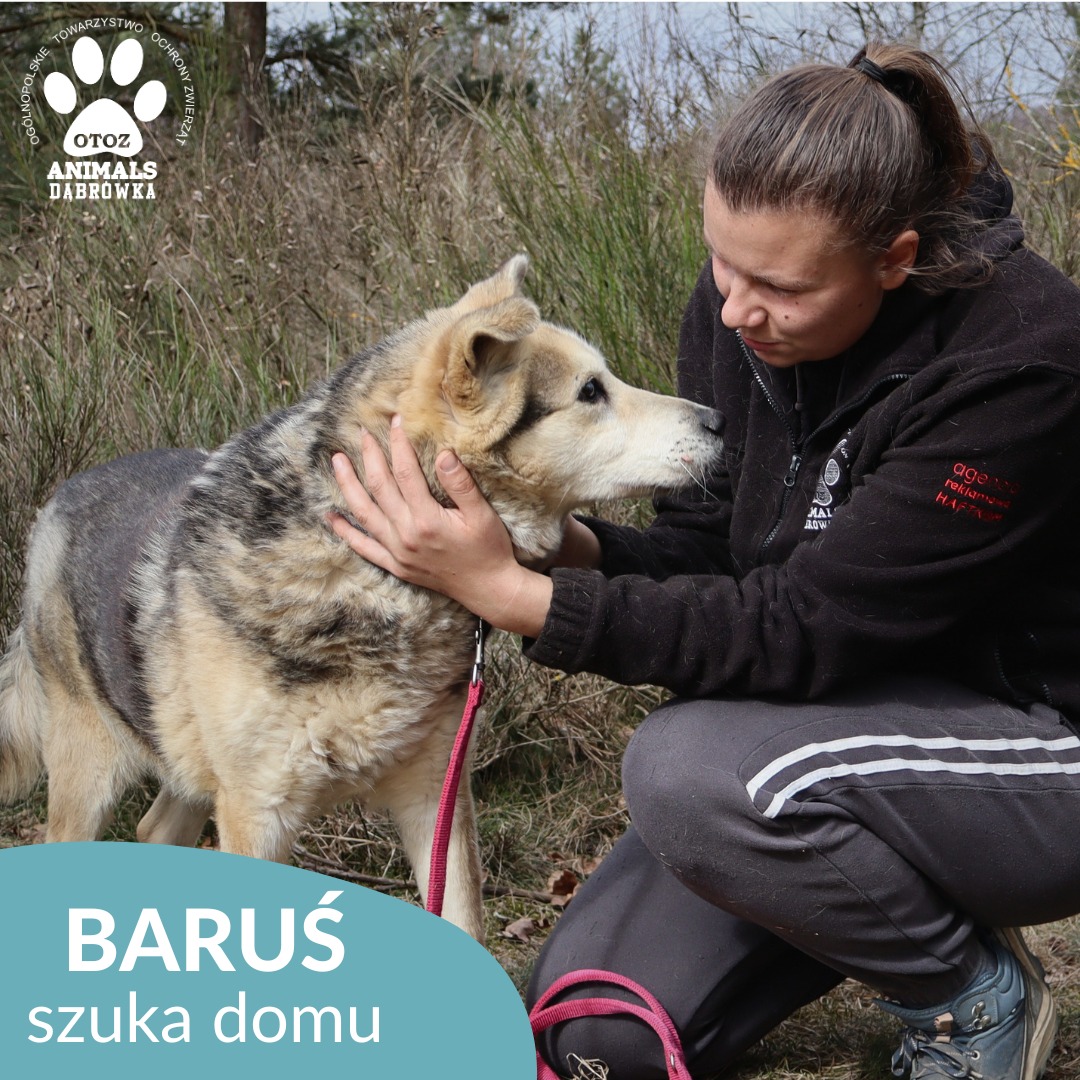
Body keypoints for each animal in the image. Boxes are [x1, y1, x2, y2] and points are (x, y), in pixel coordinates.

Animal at [0, 255, 724, 940]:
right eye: (591, 391)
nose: (719, 419)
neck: (365, 571)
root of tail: (59, 499)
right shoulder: (259, 815)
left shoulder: (437, 798)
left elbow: (462, 920)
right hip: (91, 779)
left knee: (153, 831)